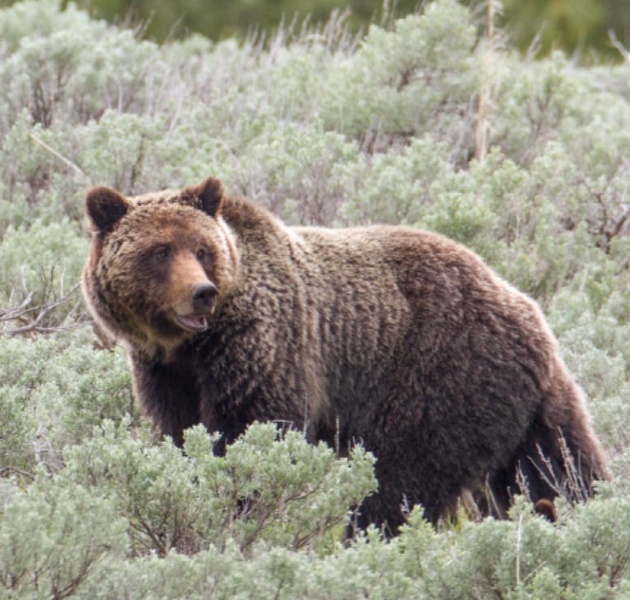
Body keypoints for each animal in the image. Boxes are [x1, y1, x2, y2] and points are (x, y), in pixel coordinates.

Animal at [84, 176, 612, 532]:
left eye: (201, 248)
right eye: (159, 251)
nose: (202, 293)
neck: (190, 346)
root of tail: (527, 309)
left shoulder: (263, 347)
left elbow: (254, 431)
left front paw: (243, 505)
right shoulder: (165, 372)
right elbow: (182, 433)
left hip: (438, 377)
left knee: (399, 479)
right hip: (524, 403)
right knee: (558, 464)